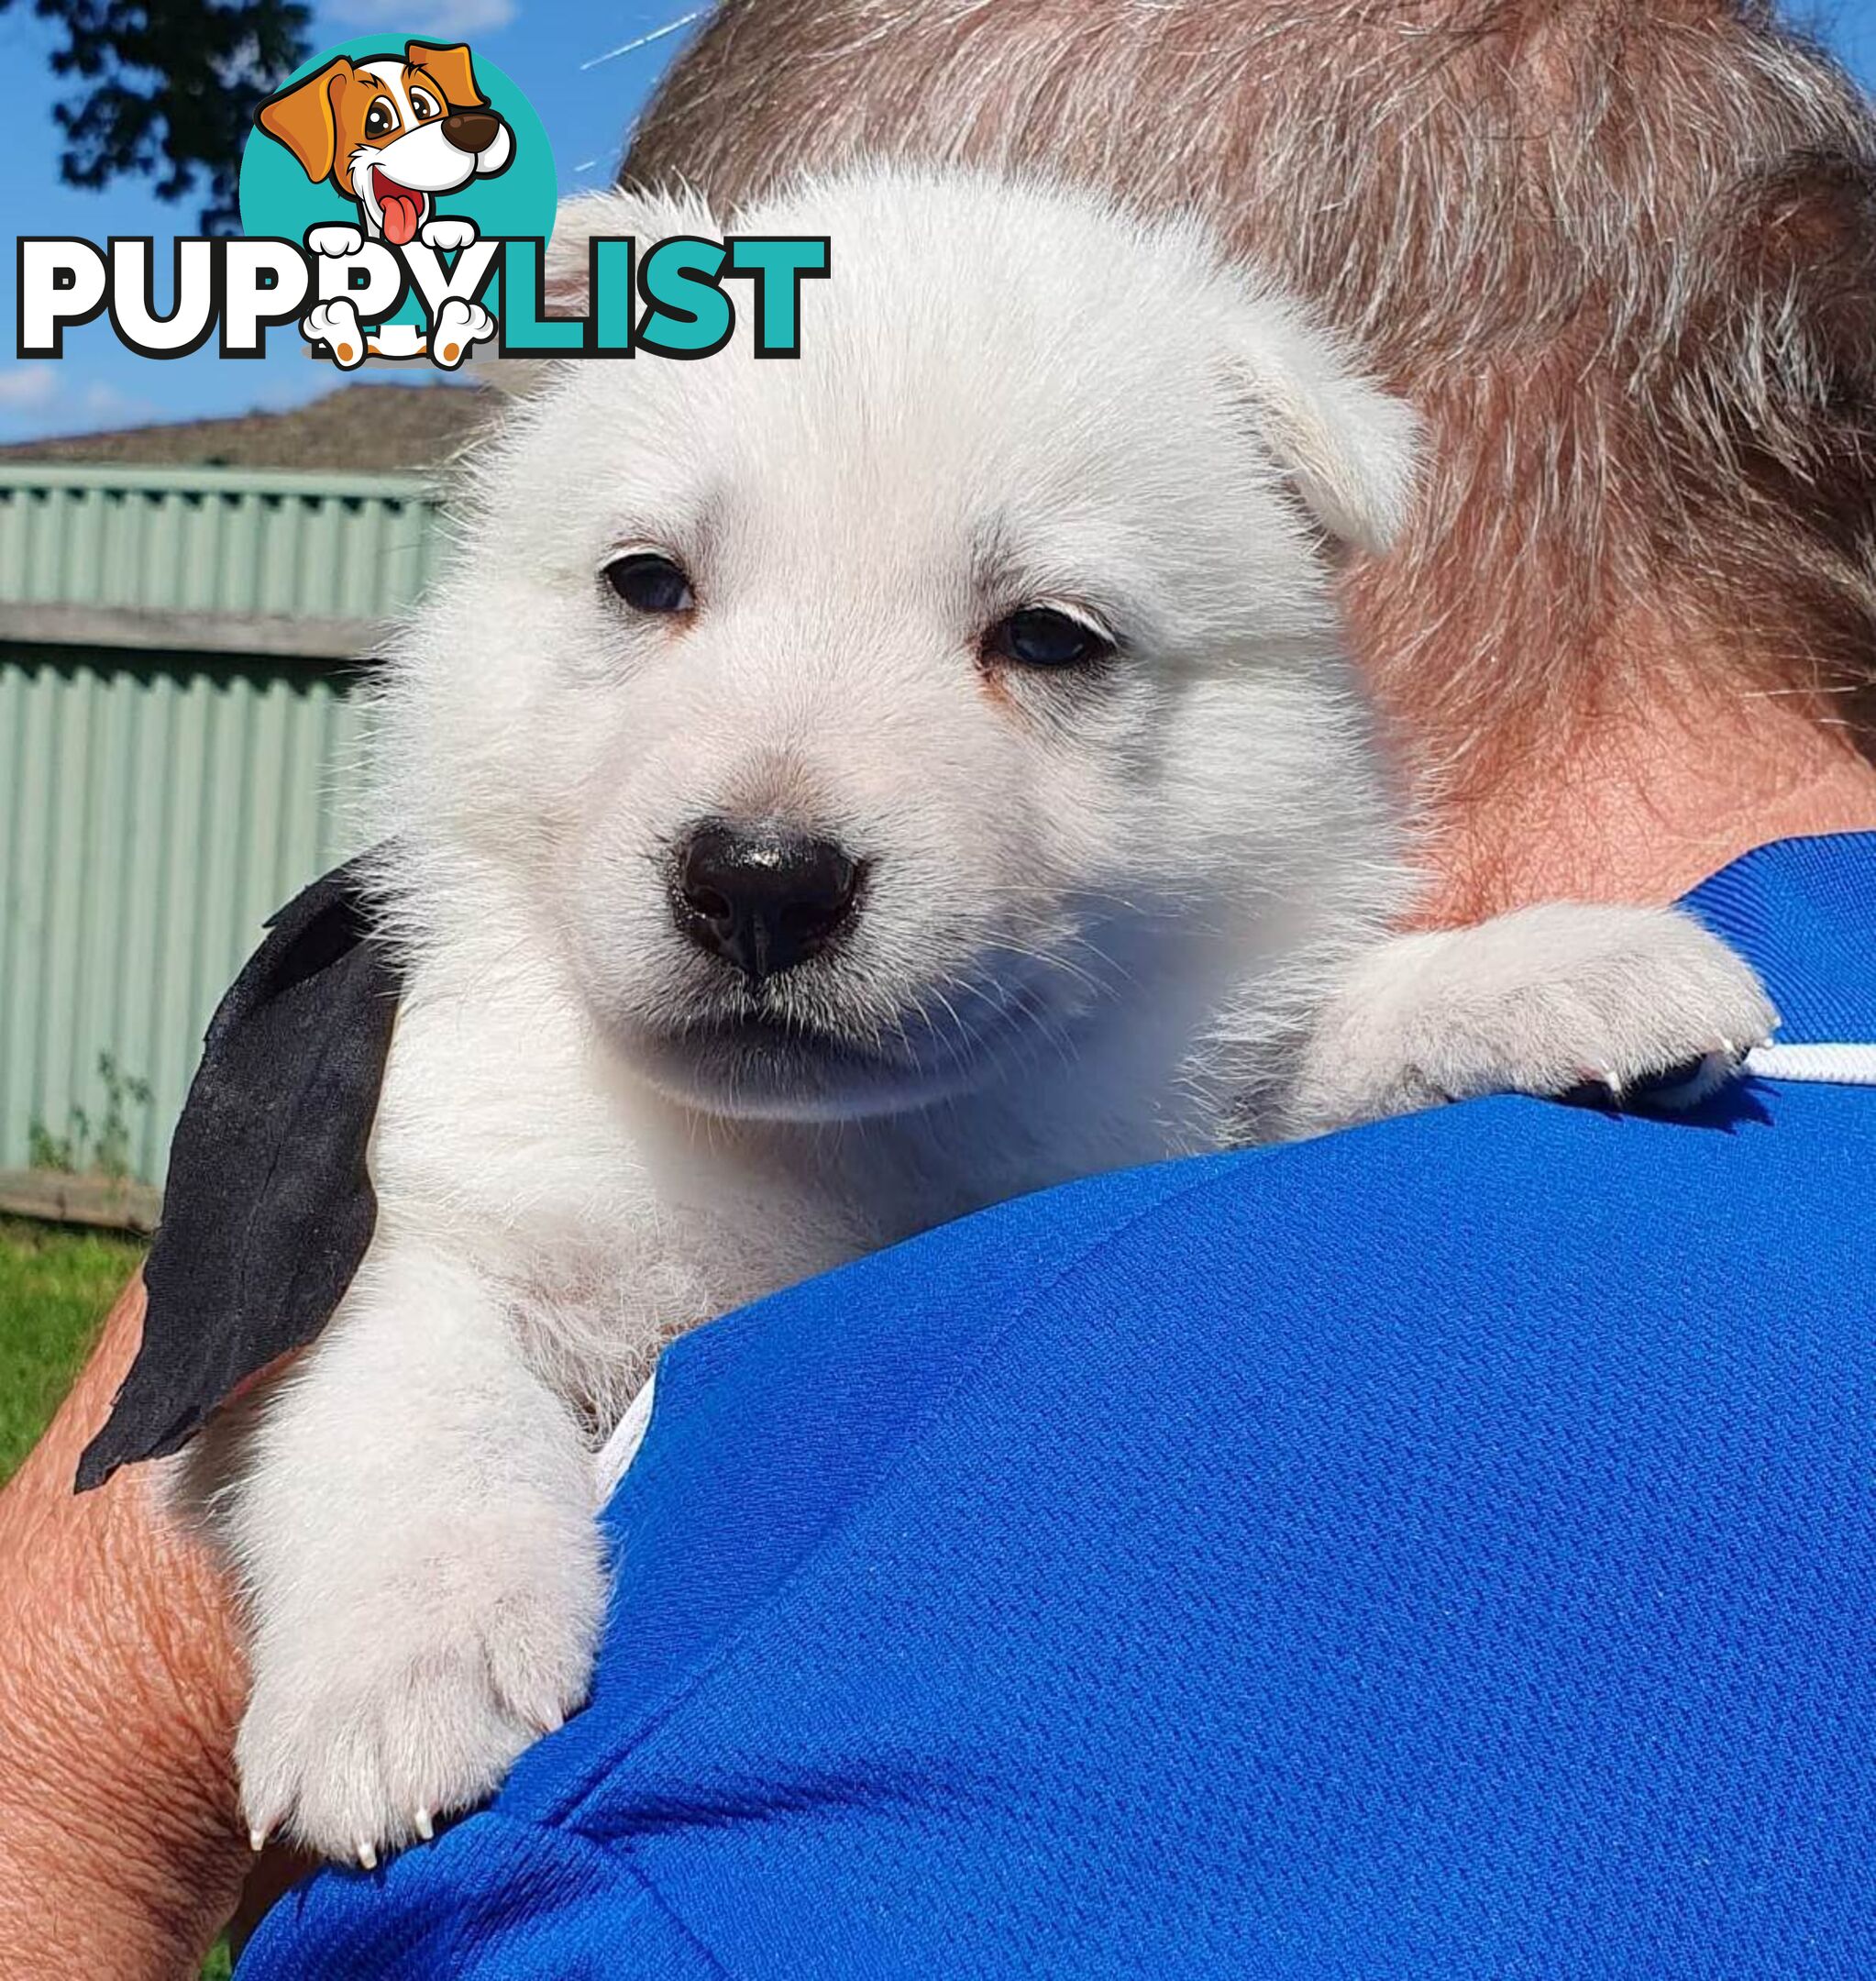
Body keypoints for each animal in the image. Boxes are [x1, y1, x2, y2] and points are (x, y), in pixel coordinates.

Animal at [187, 166, 1774, 1854]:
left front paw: (1556, 970)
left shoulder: (1142, 1100)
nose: (760, 881)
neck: (822, 1149)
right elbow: (397, 1401)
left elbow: (1303, 1038)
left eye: (1048, 637)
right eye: (646, 583)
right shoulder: (417, 1213)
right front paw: (401, 1666)